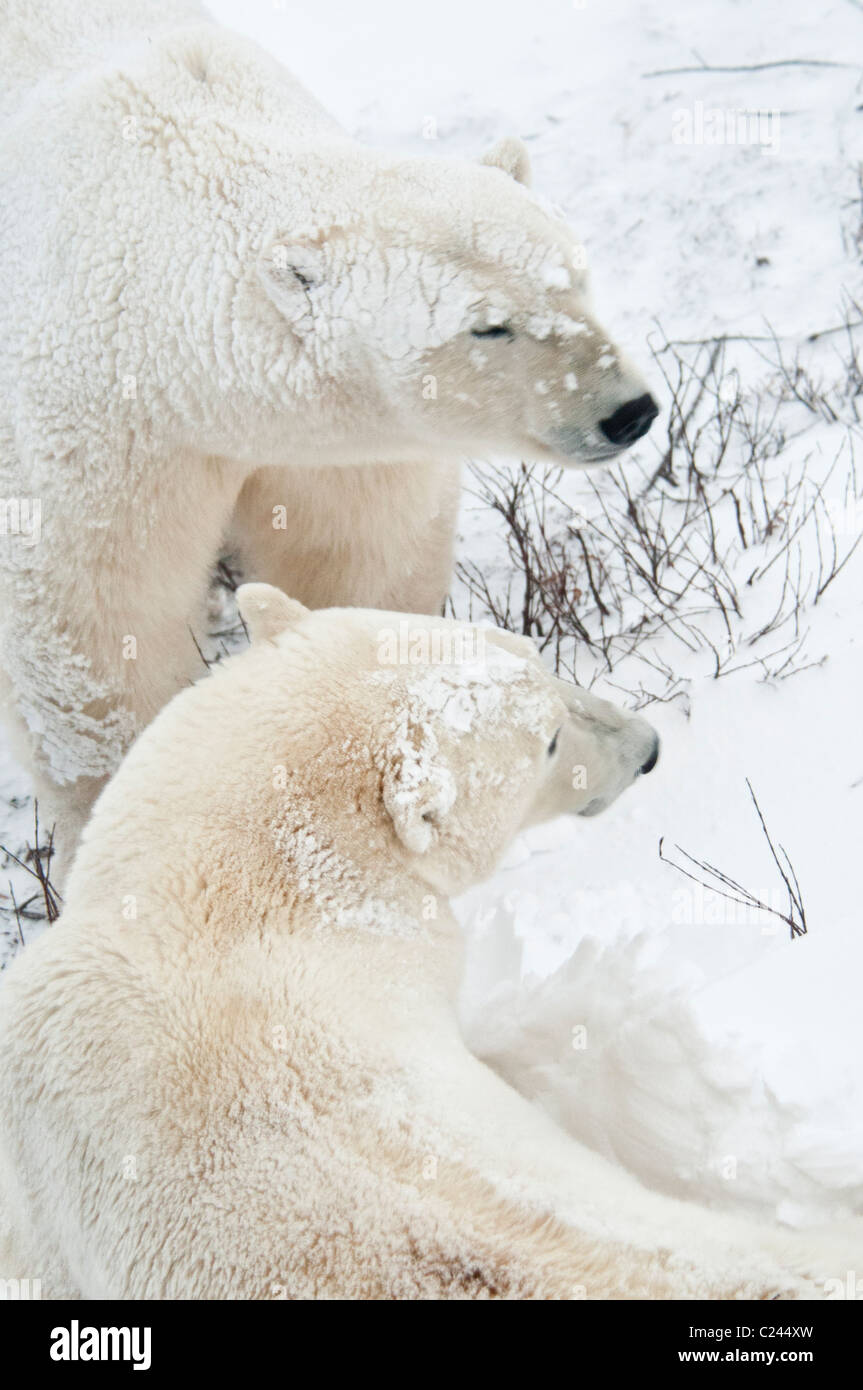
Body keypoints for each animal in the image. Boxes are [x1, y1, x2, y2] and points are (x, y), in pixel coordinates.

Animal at [0, 0, 653, 878]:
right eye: (488, 327)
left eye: (574, 276)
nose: (628, 412)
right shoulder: (95, 431)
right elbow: (97, 630)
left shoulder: (339, 453)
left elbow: (360, 560)